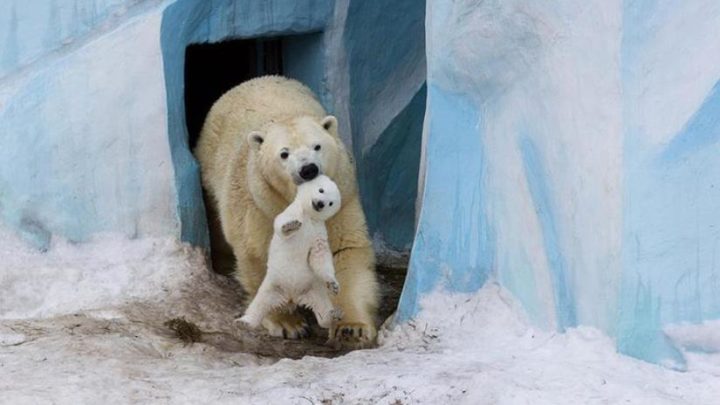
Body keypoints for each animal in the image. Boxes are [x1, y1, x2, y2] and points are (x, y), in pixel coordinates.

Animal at [194, 75, 380, 344]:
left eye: (317, 146)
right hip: (211, 172)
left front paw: (351, 327)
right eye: (284, 154)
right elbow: (260, 255)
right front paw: (288, 323)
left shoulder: (342, 199)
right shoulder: (261, 206)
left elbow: (342, 249)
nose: (308, 169)